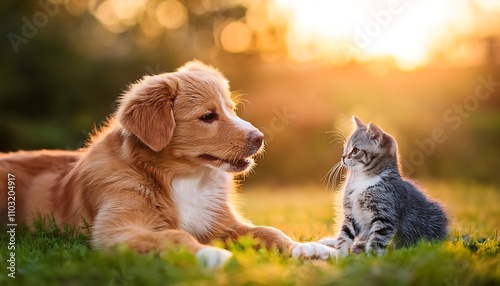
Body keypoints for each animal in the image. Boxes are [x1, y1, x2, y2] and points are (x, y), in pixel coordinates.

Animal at [0, 61, 338, 268]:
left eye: (232, 109)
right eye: (208, 116)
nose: (260, 138)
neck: (187, 180)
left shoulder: (222, 223)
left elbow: (268, 231)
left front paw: (307, 248)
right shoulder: (120, 229)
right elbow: (176, 236)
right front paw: (211, 255)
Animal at [320, 117, 450, 256]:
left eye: (355, 150)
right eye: (345, 149)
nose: (343, 157)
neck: (363, 180)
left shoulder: (385, 215)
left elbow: (376, 240)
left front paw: (372, 257)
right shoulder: (351, 214)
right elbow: (343, 235)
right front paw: (342, 255)